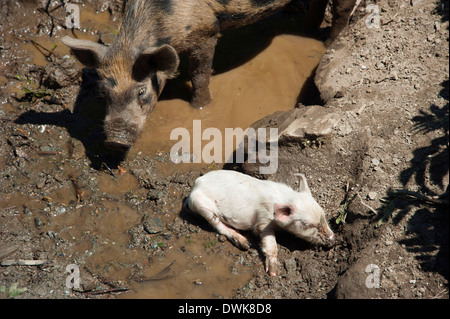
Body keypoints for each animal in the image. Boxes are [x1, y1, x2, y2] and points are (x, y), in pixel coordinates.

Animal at [185, 171, 336, 276]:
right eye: (308, 225)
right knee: (218, 225)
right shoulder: (263, 221)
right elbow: (270, 244)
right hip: (202, 206)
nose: (332, 239)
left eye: (324, 216)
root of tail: (195, 185)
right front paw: (274, 273)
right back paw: (245, 244)